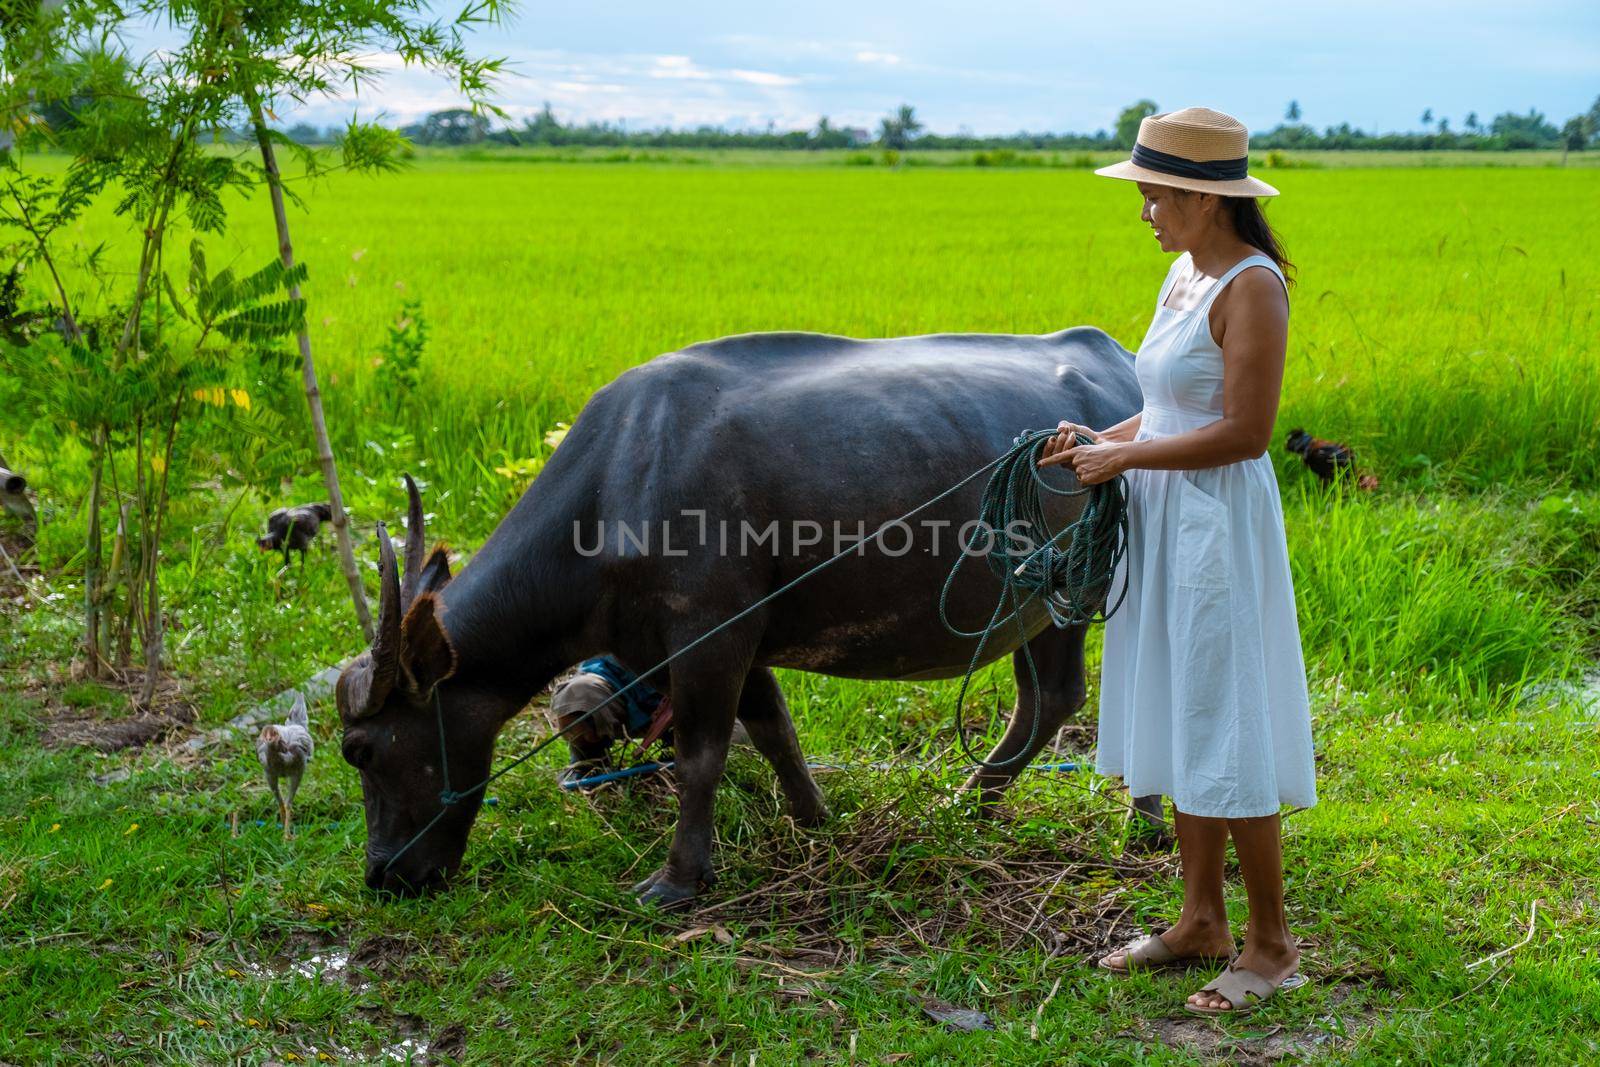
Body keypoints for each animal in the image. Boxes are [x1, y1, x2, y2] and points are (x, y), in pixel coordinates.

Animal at [334, 326, 1139, 902]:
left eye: (360, 751)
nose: (382, 877)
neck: (618, 487)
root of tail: (1119, 359)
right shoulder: (736, 638)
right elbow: (774, 730)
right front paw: (813, 818)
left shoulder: (704, 638)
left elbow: (702, 755)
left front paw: (677, 880)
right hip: (1040, 603)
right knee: (1049, 700)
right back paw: (1001, 809)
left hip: (1081, 588)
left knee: (1084, 696)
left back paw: (1033, 808)